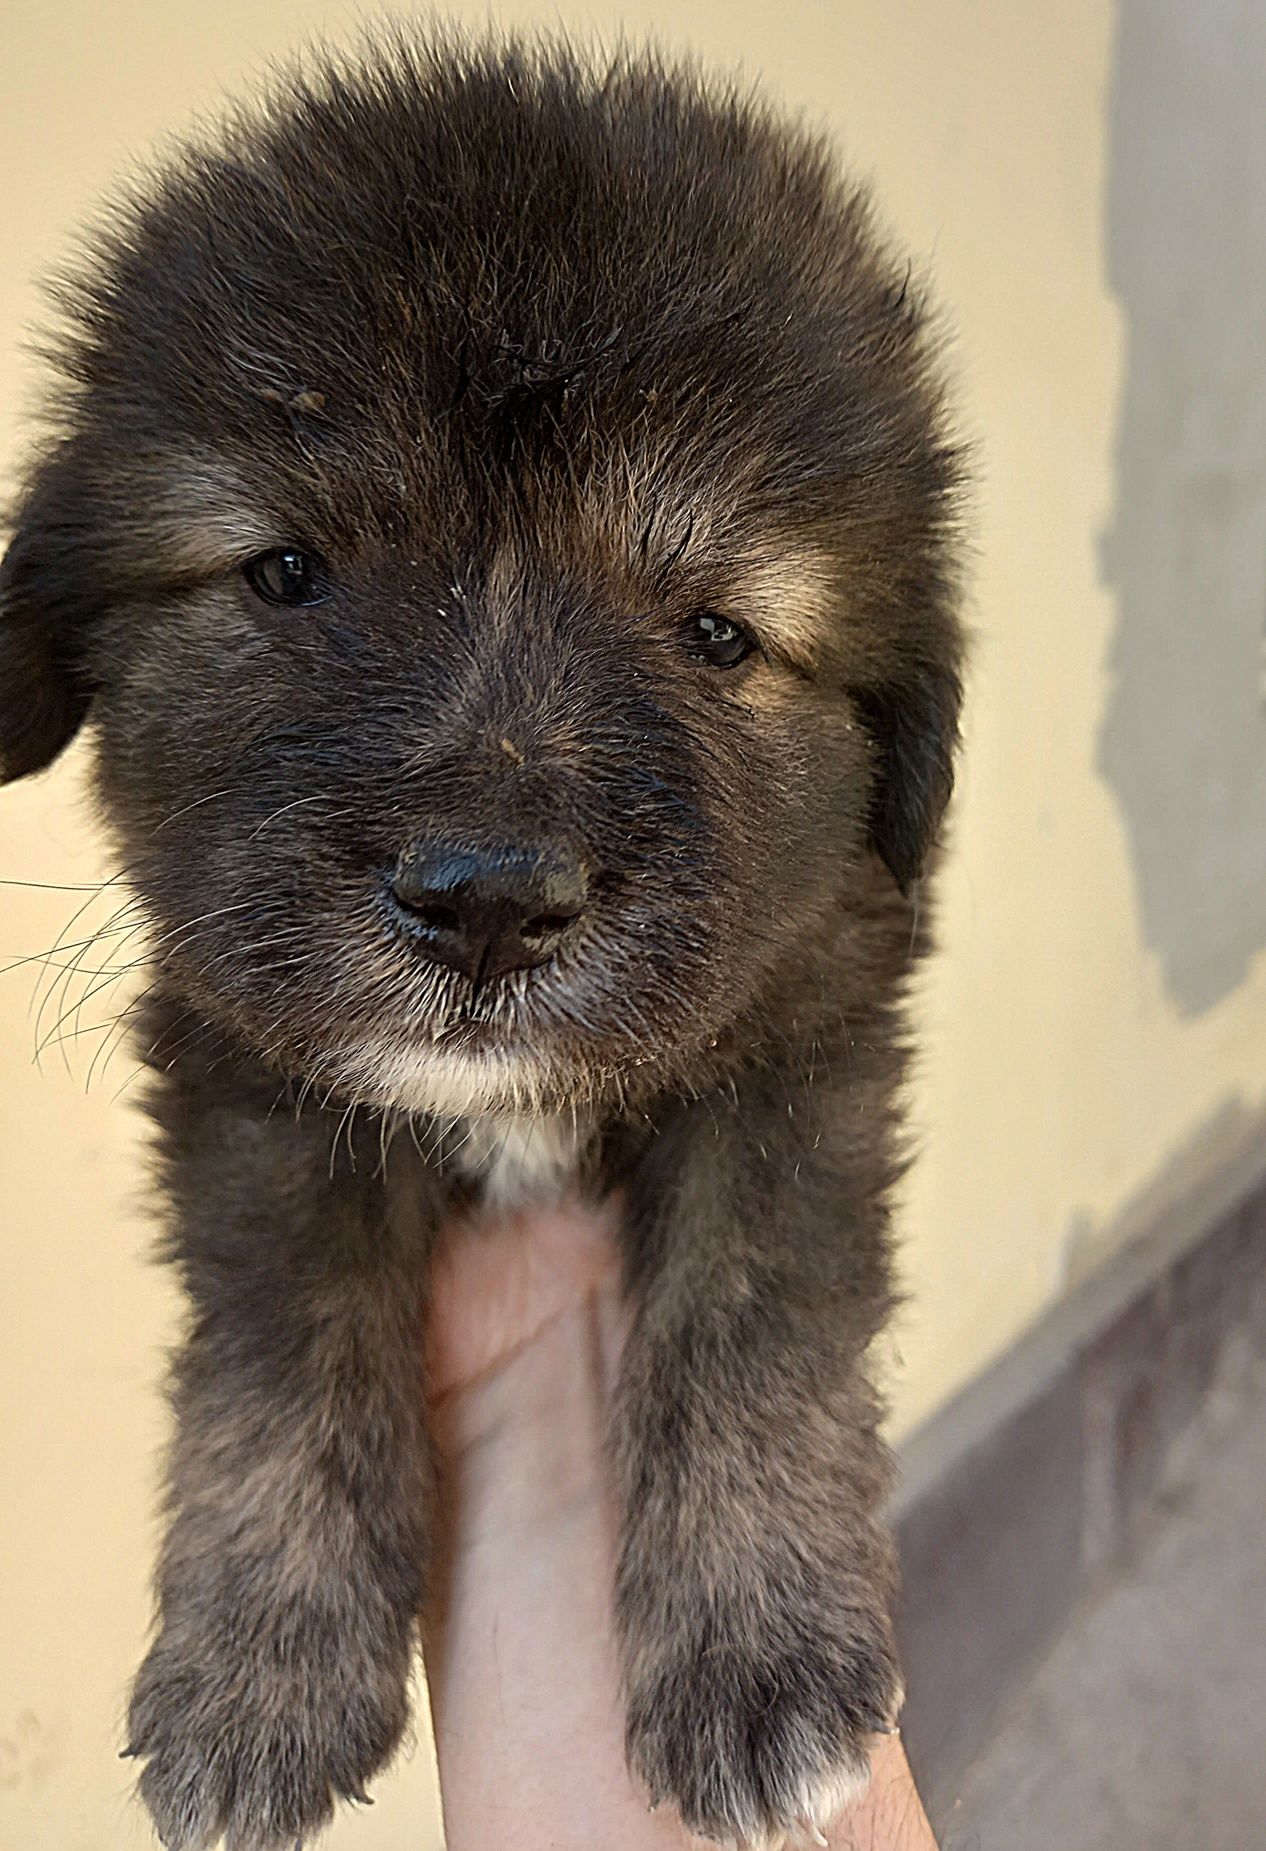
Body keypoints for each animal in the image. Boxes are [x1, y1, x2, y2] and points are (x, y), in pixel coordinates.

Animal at [0, 32, 962, 1851]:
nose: (489, 900)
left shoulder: (805, 1029)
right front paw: (258, 1662)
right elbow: (282, 1343)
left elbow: (751, 1309)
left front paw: (759, 1644)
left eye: (716, 629)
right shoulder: (249, 1071)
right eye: (286, 571)